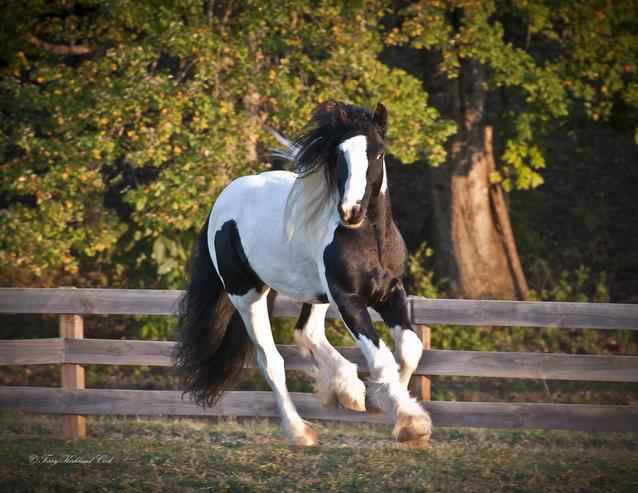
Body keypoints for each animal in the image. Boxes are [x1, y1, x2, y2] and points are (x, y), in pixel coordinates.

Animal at [174, 100, 432, 446]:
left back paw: (346, 390)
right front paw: (410, 421)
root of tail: (224, 198)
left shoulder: (390, 292)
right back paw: (300, 431)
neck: (370, 239)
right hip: (247, 295)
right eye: (339, 154)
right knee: (271, 361)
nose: (350, 212)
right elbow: (381, 356)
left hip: (317, 295)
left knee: (307, 332)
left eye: (377, 154)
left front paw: (383, 404)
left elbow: (409, 348)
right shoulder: (348, 299)